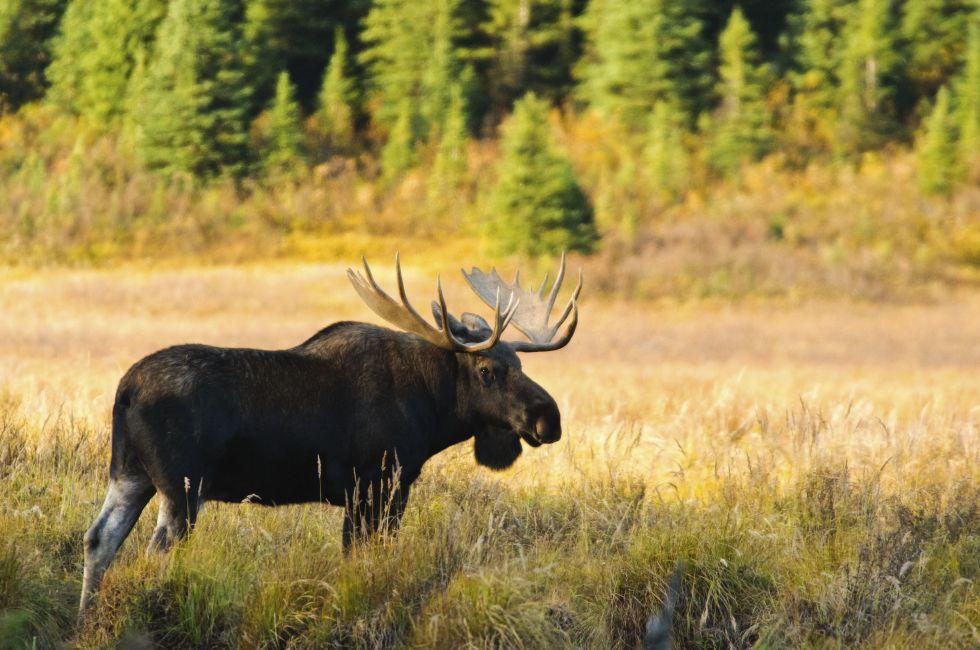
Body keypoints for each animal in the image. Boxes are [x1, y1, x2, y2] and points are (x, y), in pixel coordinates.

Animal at [79, 253, 581, 613]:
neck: (433, 409)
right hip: (183, 486)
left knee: (99, 539)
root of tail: (125, 390)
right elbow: (361, 558)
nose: (548, 418)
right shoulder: (377, 485)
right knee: (154, 551)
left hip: (130, 474)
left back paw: (86, 621)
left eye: (520, 364)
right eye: (487, 370)